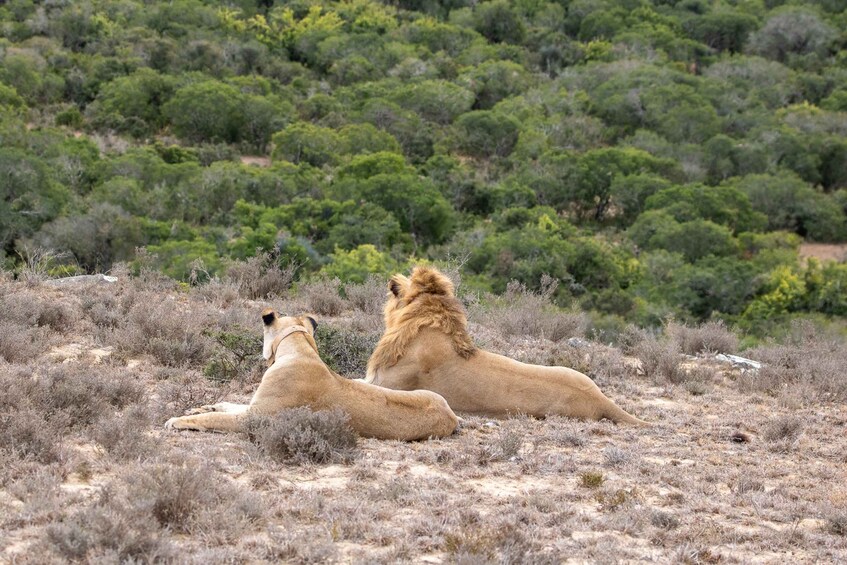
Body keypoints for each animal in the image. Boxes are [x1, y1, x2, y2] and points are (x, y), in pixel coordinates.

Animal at [166, 310, 458, 438]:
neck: (299, 348)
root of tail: (452, 416)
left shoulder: (256, 418)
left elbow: (216, 418)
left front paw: (177, 420)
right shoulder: (254, 406)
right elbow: (226, 404)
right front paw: (200, 406)